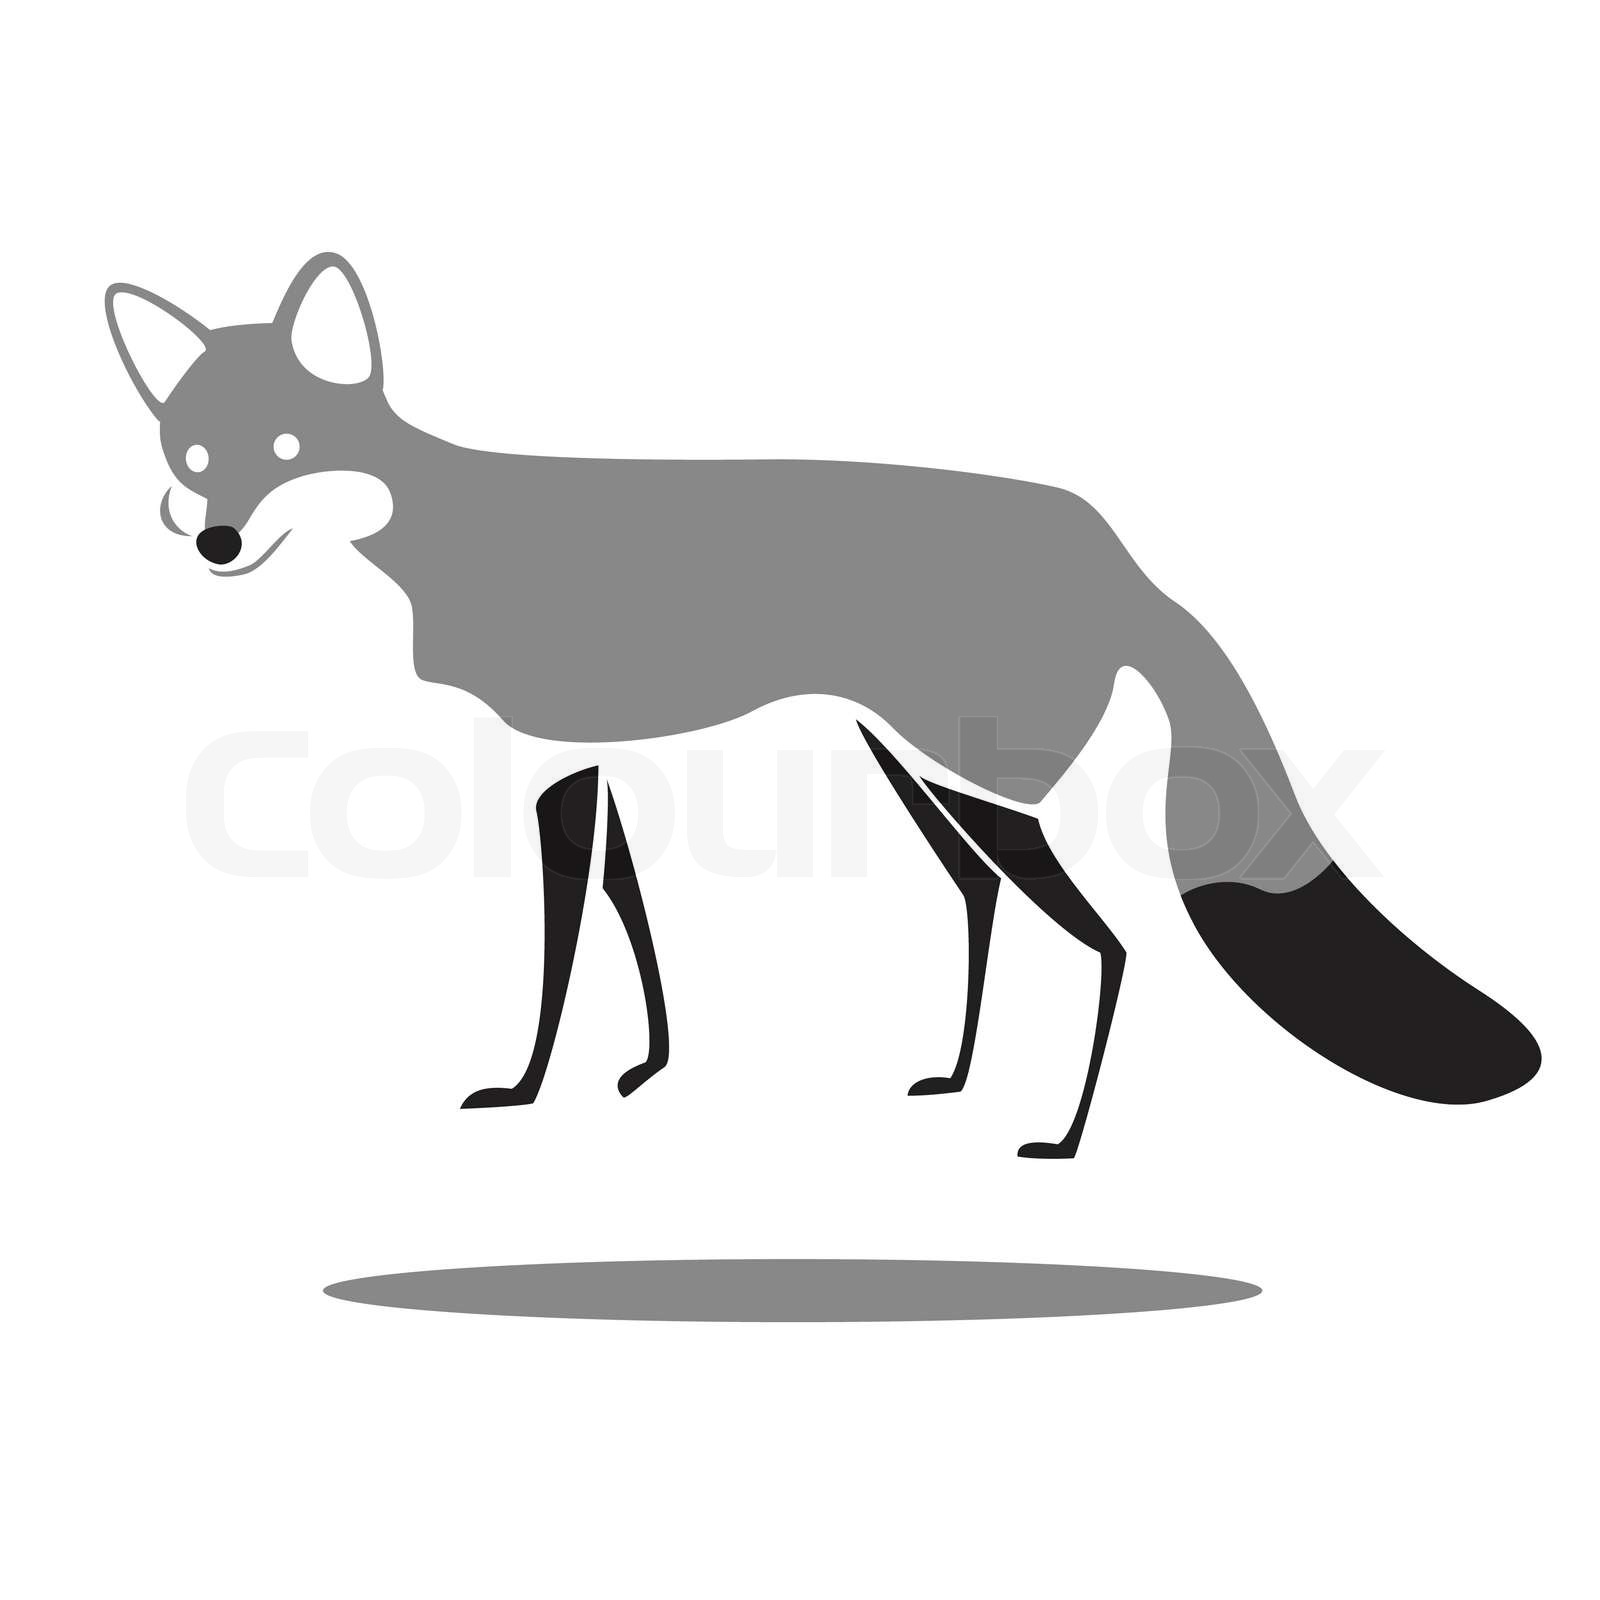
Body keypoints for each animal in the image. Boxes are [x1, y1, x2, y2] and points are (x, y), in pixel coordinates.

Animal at [106, 253, 1540, 1157]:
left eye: (288, 448)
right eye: (194, 450)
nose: (216, 540)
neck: (447, 530)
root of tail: (1118, 554)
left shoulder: (543, 767)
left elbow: (564, 949)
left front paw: (528, 1086)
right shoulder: (591, 759)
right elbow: (633, 919)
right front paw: (647, 1071)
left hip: (974, 784)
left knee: (1111, 946)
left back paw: (1062, 1136)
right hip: (915, 773)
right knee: (980, 906)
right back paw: (957, 1078)